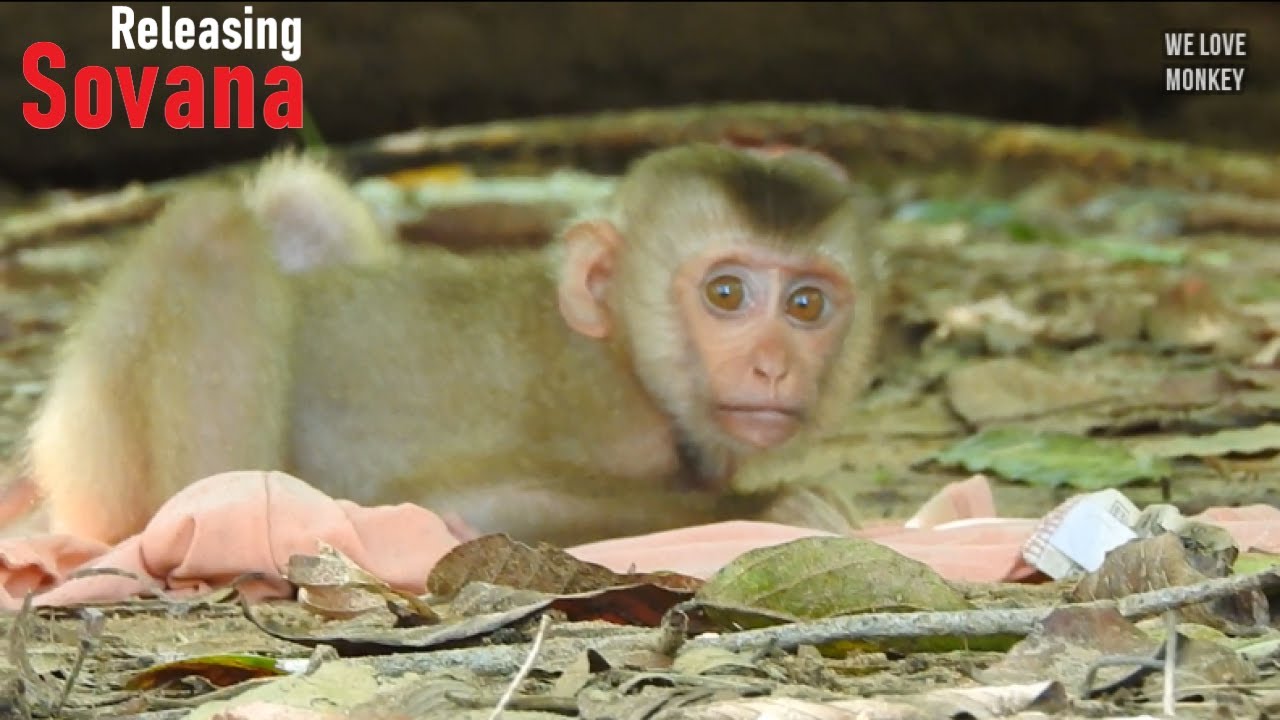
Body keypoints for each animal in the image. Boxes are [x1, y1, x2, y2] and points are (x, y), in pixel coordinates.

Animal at [10, 143, 881, 548]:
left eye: (807, 305)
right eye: (725, 295)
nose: (774, 365)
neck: (623, 357)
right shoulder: (611, 424)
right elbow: (460, 505)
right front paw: (775, 506)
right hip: (94, 459)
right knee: (211, 228)